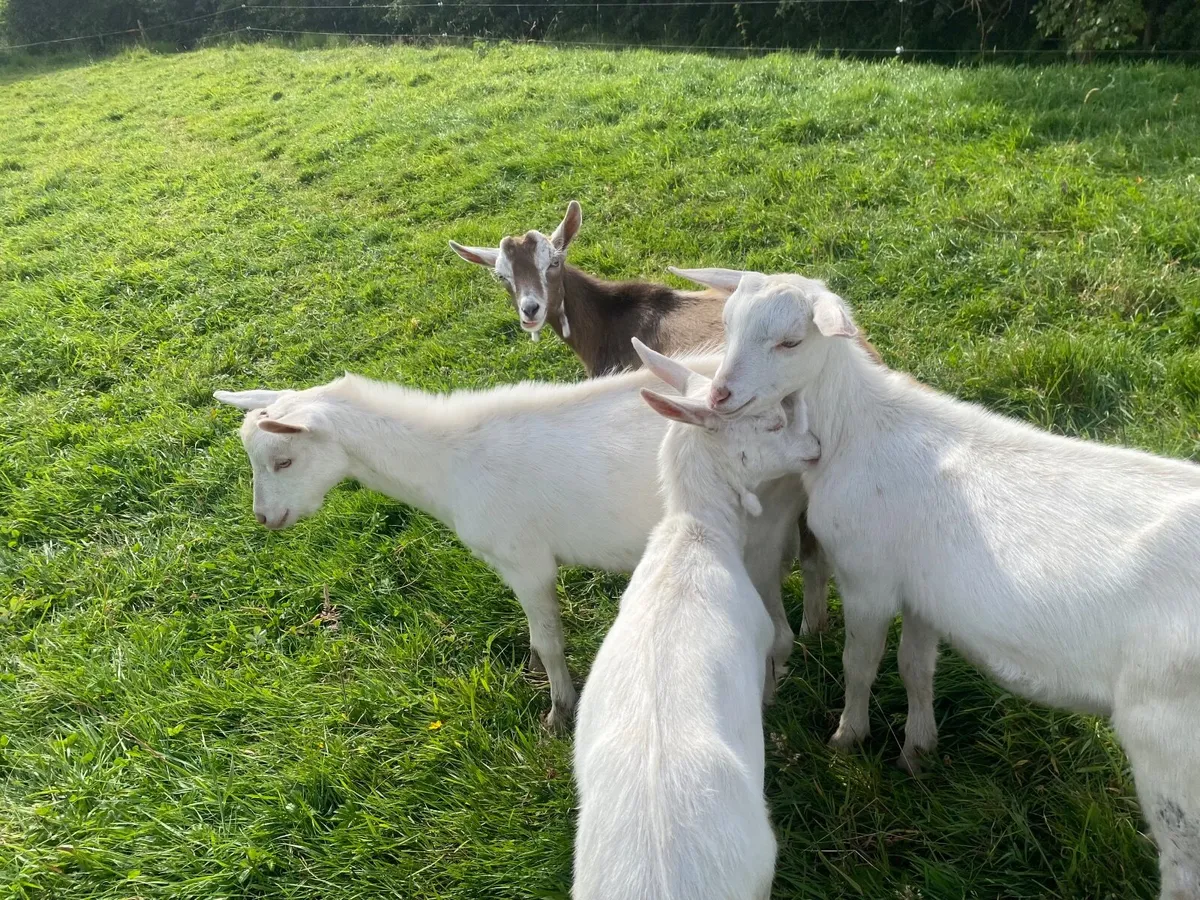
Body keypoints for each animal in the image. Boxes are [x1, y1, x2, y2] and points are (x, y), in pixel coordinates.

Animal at [214, 360, 803, 729]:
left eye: (283, 460)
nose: (266, 518)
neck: (448, 462)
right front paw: (541, 676)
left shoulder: (526, 561)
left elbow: (549, 638)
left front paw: (558, 710)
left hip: (763, 535)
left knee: (779, 629)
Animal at [698, 267, 1200, 900]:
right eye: (727, 323)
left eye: (791, 342)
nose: (719, 396)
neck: (853, 428)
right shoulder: (923, 594)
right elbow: (916, 667)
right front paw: (918, 750)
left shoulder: (868, 577)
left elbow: (859, 665)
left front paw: (848, 738)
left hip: (1170, 739)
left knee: (1183, 860)